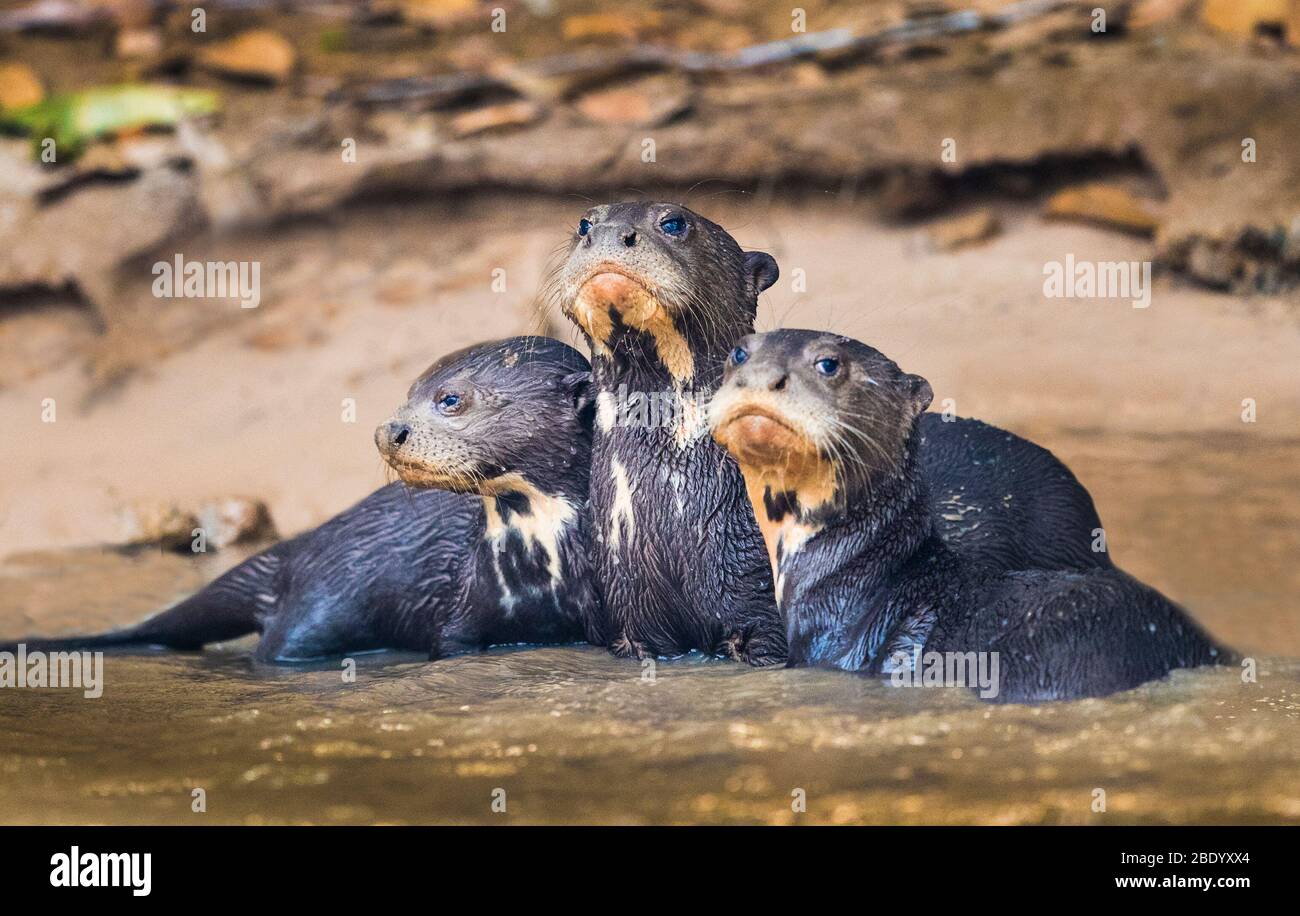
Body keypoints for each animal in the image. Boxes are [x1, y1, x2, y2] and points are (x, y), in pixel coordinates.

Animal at [2, 335, 600, 657]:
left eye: (450, 399)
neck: (536, 568)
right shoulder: (458, 620)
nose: (389, 430)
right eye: (408, 393)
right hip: (319, 605)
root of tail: (300, 549)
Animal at [548, 201, 1107, 665]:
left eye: (673, 222)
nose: (608, 233)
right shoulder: (632, 623)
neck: (672, 516)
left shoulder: (765, 619)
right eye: (584, 223)